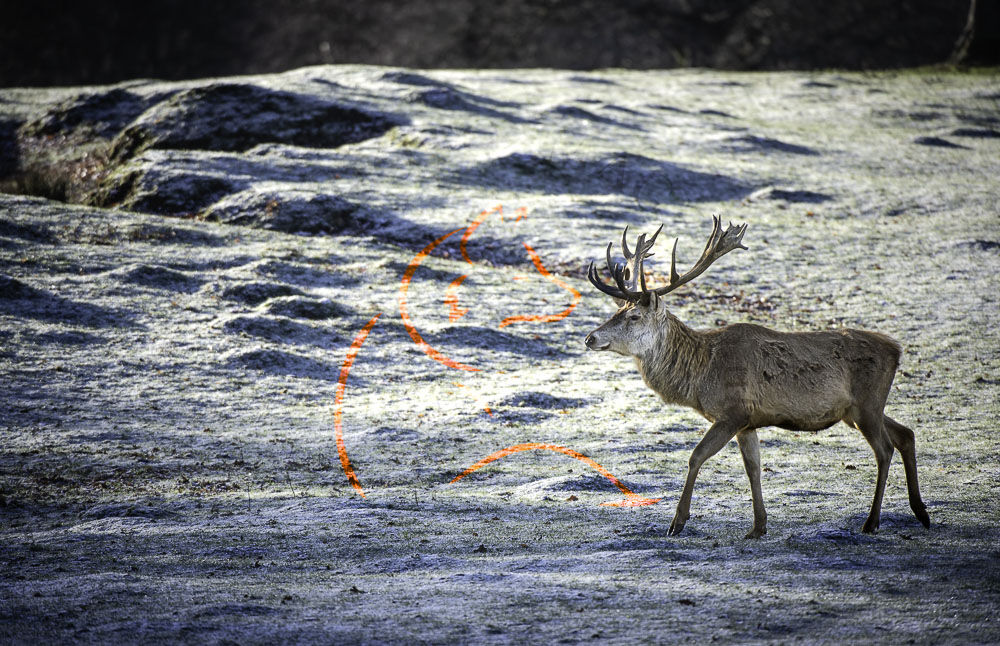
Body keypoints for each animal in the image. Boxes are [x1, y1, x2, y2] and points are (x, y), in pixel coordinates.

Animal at [585, 216, 930, 538]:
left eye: (634, 316)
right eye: (615, 312)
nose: (590, 337)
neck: (700, 375)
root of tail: (897, 349)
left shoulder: (733, 412)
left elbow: (696, 457)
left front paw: (677, 522)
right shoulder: (748, 422)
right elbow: (754, 469)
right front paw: (758, 526)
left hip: (867, 404)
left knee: (884, 448)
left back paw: (872, 522)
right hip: (859, 409)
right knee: (906, 434)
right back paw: (920, 512)